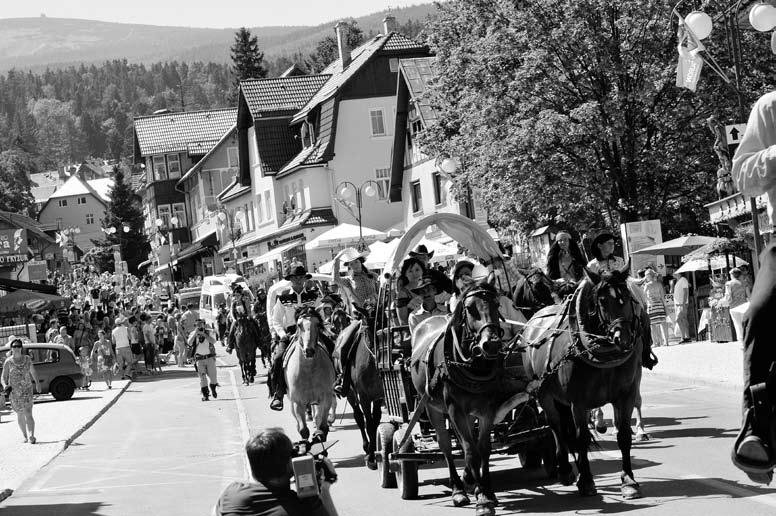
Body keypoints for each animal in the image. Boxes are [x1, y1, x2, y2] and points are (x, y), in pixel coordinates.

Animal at [284, 306, 334, 444]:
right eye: (299, 325)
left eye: (317, 324)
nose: (309, 351)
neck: (308, 371)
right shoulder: (297, 402)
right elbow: (303, 430)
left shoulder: (325, 397)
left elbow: (322, 426)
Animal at [332, 304, 384, 470]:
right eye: (368, 329)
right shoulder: (364, 397)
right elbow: (369, 424)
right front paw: (372, 457)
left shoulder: (379, 396)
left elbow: (375, 421)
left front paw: (374, 451)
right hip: (350, 393)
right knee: (359, 418)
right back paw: (366, 447)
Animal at [412, 278, 528, 512]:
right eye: (469, 309)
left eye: (496, 305)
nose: (491, 343)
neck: (472, 365)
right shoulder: (455, 409)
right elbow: (470, 450)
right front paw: (482, 499)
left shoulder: (486, 409)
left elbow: (482, 449)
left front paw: (486, 491)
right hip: (431, 406)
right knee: (446, 445)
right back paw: (458, 490)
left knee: (465, 441)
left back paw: (469, 479)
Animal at [520, 264, 648, 498]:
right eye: (602, 301)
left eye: (627, 297)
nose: (623, 338)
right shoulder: (578, 402)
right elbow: (581, 438)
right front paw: (587, 480)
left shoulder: (625, 395)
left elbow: (624, 435)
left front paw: (629, 480)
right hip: (545, 395)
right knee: (557, 428)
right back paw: (564, 470)